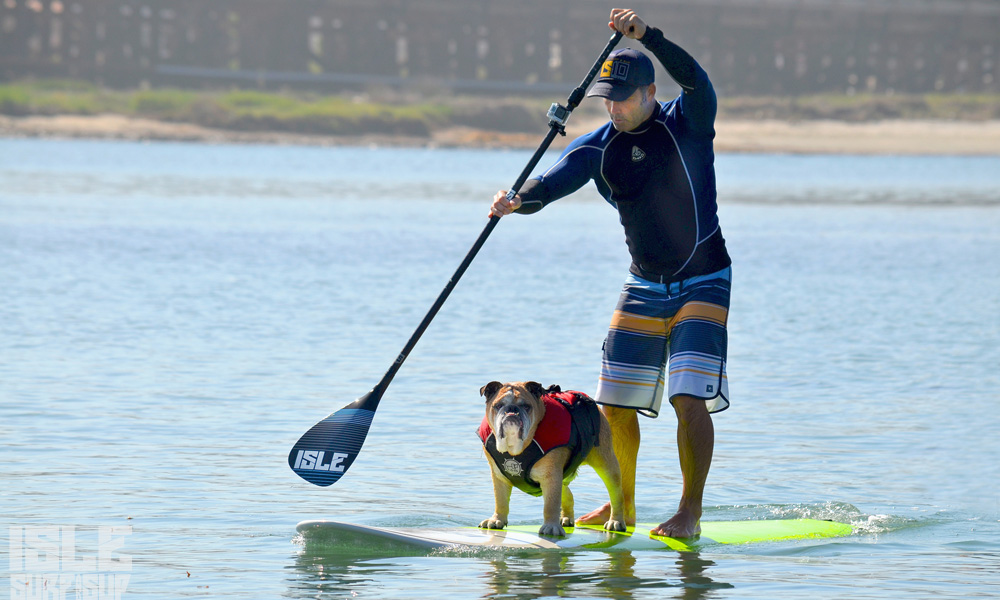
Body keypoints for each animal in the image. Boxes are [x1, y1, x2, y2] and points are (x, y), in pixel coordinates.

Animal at [476, 382, 624, 536]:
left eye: (526, 406)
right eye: (498, 405)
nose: (511, 410)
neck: (516, 447)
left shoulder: (551, 476)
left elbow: (551, 504)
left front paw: (551, 526)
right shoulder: (499, 477)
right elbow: (500, 500)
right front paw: (497, 519)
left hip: (606, 465)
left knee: (616, 495)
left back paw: (616, 521)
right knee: (567, 494)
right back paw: (566, 518)